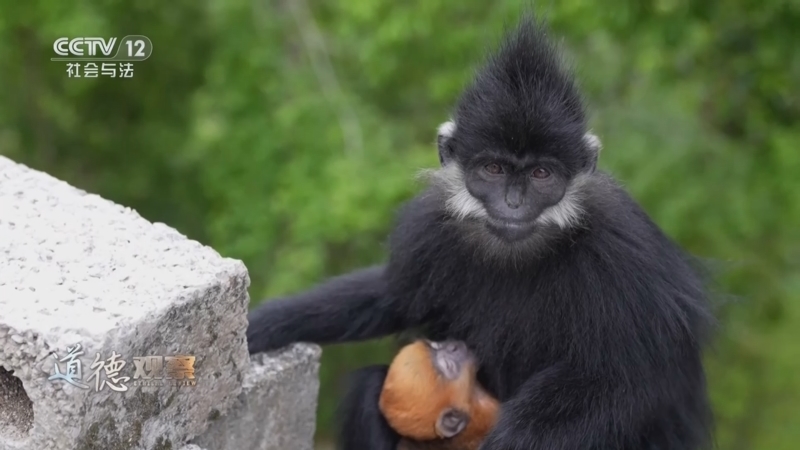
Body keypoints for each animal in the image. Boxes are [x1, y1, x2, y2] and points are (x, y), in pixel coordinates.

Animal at [248, 17, 712, 450]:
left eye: (541, 174)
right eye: (494, 169)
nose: (513, 202)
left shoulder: (624, 248)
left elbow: (632, 378)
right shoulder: (429, 228)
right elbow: (391, 295)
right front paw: (259, 328)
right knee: (368, 387)